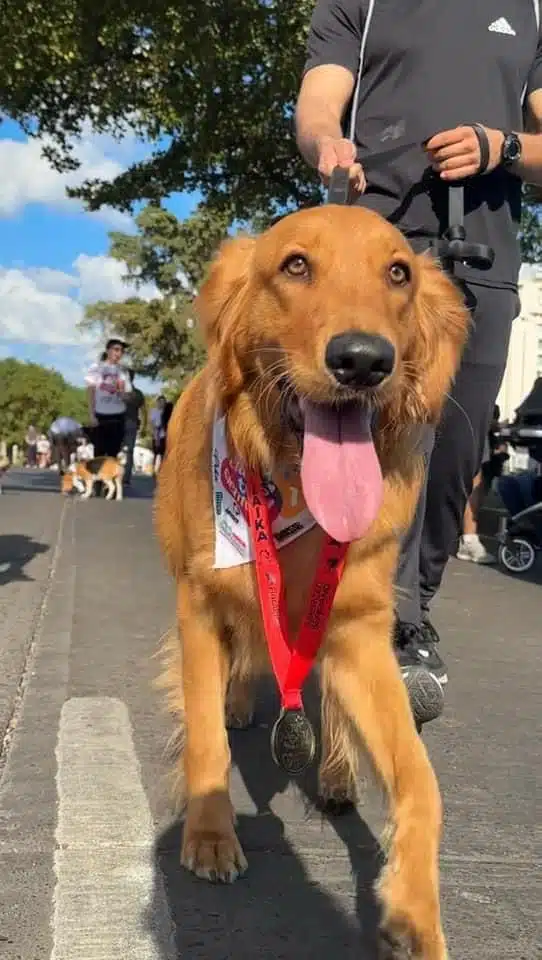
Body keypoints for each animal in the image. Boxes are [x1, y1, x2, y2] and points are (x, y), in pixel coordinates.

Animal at [155, 204, 470, 960]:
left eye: (399, 273)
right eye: (295, 265)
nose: (362, 360)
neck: (292, 484)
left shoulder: (359, 629)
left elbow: (422, 781)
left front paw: (415, 913)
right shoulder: (199, 603)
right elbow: (203, 729)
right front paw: (210, 835)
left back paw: (333, 771)